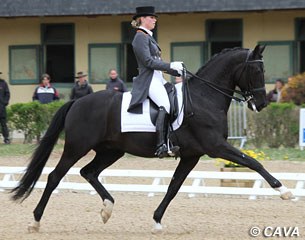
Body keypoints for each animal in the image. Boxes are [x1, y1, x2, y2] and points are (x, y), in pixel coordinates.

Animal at [11, 45, 292, 232]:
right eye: (256, 70)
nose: (262, 104)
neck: (204, 97)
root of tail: (77, 102)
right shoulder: (216, 147)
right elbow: (253, 162)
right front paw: (284, 191)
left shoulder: (191, 155)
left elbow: (174, 186)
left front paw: (157, 220)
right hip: (77, 147)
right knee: (55, 177)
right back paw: (36, 221)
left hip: (111, 151)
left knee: (88, 172)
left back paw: (107, 208)